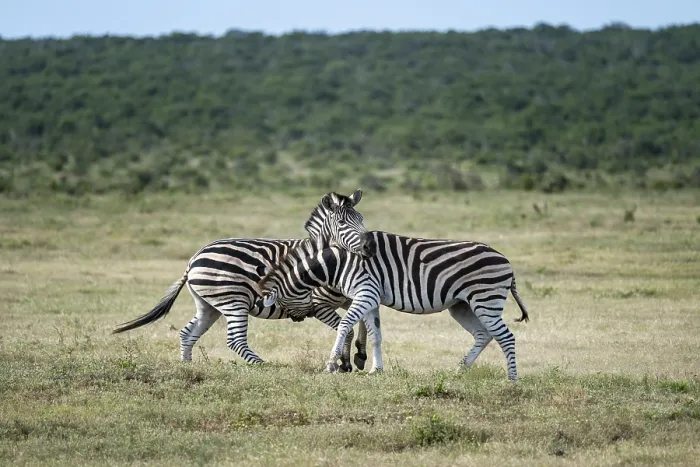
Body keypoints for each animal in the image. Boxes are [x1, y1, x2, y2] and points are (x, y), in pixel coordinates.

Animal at [111, 189, 376, 371]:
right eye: (342, 223)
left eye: (362, 218)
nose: (369, 246)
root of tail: (195, 258)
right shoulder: (318, 305)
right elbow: (348, 328)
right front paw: (345, 363)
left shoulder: (349, 296)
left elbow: (363, 320)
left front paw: (360, 354)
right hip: (233, 301)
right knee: (235, 340)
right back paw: (265, 366)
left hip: (208, 305)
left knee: (188, 333)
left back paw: (187, 365)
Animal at [256, 231, 530, 381]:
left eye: (281, 302)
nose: (297, 319)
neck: (338, 263)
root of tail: (506, 261)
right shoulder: (371, 298)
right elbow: (376, 335)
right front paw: (375, 369)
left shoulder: (365, 293)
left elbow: (344, 325)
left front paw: (331, 364)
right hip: (462, 305)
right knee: (484, 335)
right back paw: (458, 370)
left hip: (485, 298)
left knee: (506, 337)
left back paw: (512, 379)